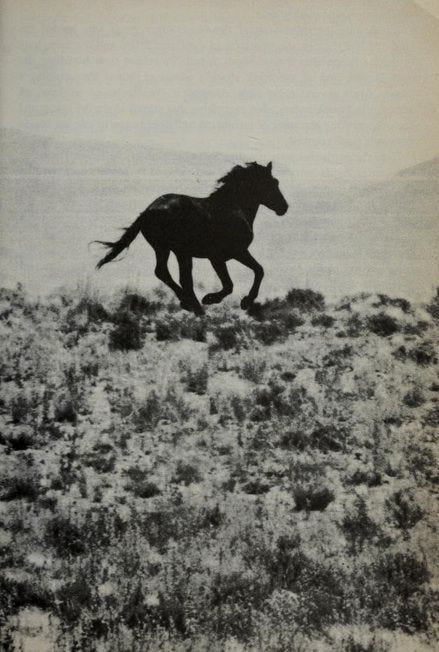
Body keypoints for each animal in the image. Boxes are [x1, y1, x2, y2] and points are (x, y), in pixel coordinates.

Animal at [95, 161, 288, 315]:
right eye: (272, 183)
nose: (284, 207)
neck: (233, 208)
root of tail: (149, 210)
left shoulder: (232, 254)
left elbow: (257, 271)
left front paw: (243, 302)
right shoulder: (224, 255)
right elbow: (234, 282)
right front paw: (216, 299)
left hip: (168, 249)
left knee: (166, 273)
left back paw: (190, 304)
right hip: (179, 251)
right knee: (177, 277)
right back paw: (195, 305)